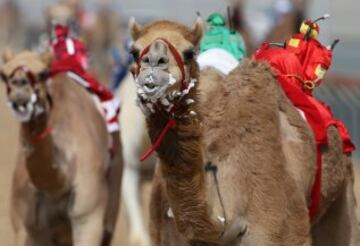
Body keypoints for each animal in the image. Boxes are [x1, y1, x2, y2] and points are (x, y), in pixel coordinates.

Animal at [0, 51, 122, 245]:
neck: (56, 189)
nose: (20, 87)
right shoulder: (26, 225)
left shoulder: (88, 216)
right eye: (3, 74)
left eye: (43, 73)